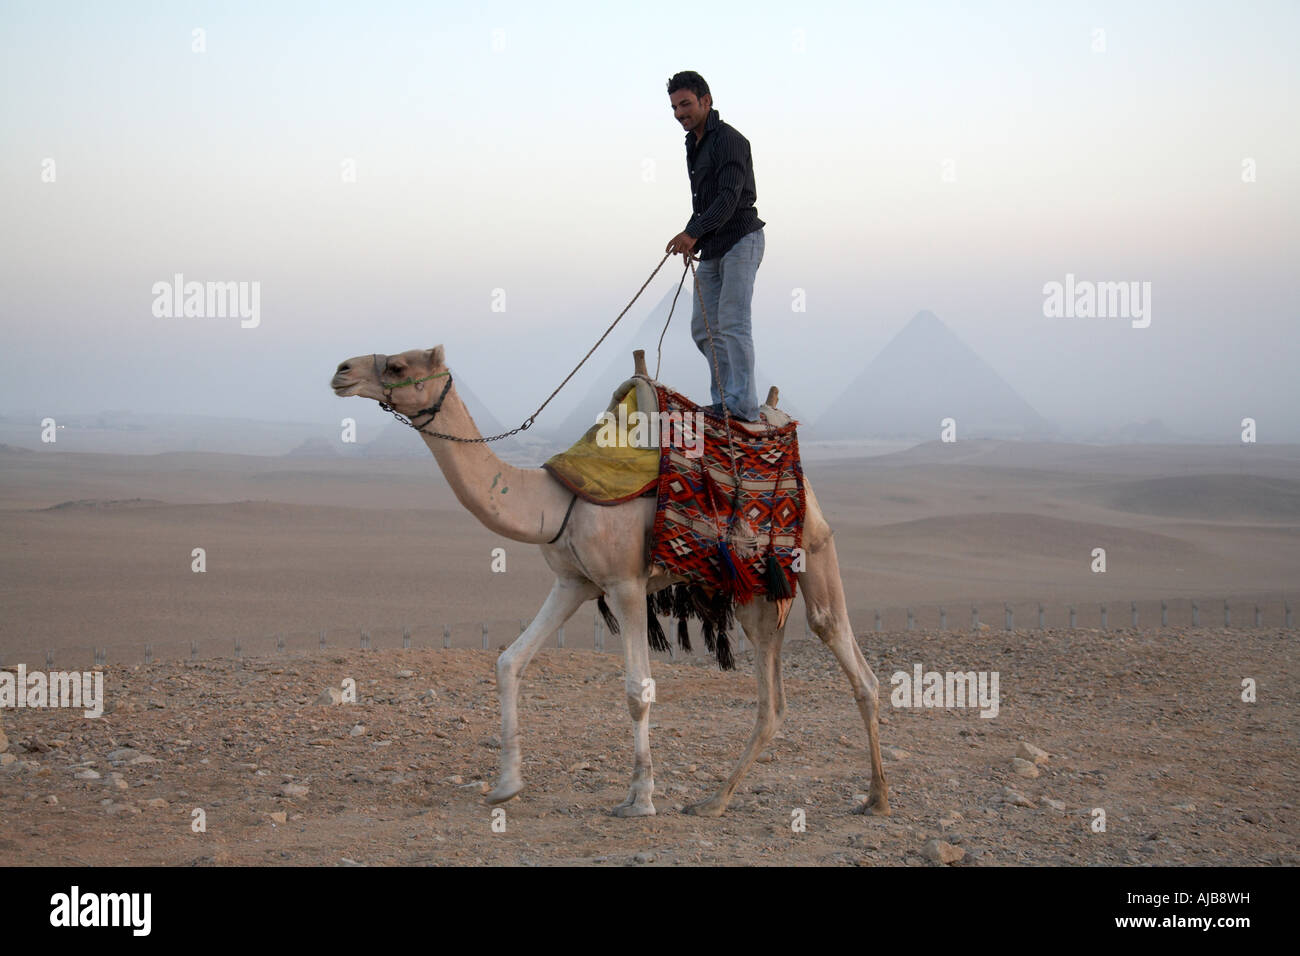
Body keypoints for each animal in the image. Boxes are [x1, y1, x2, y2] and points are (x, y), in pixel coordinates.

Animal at [330, 345, 890, 818]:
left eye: (398, 365)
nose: (341, 371)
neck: (554, 500)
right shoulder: (573, 583)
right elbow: (510, 662)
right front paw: (506, 784)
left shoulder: (625, 584)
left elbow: (637, 689)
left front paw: (639, 798)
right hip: (753, 591)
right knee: (773, 699)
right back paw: (715, 800)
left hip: (812, 548)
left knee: (843, 650)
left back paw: (876, 797)